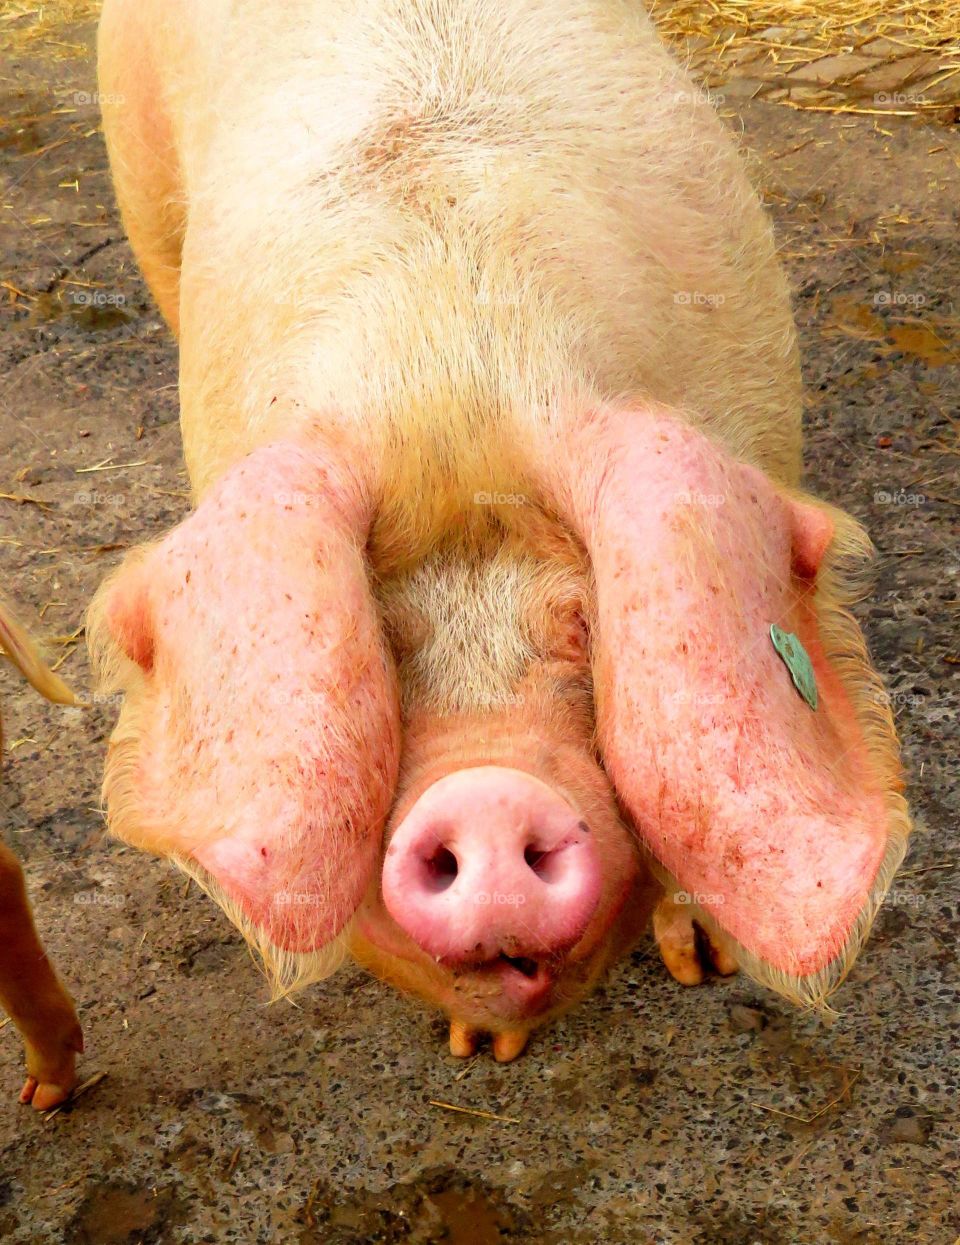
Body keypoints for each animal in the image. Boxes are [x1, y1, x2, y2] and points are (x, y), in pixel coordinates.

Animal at [91, 0, 910, 1061]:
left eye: (583, 627)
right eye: (384, 647)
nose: (486, 793)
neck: (449, 377)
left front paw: (703, 963)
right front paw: (474, 1048)